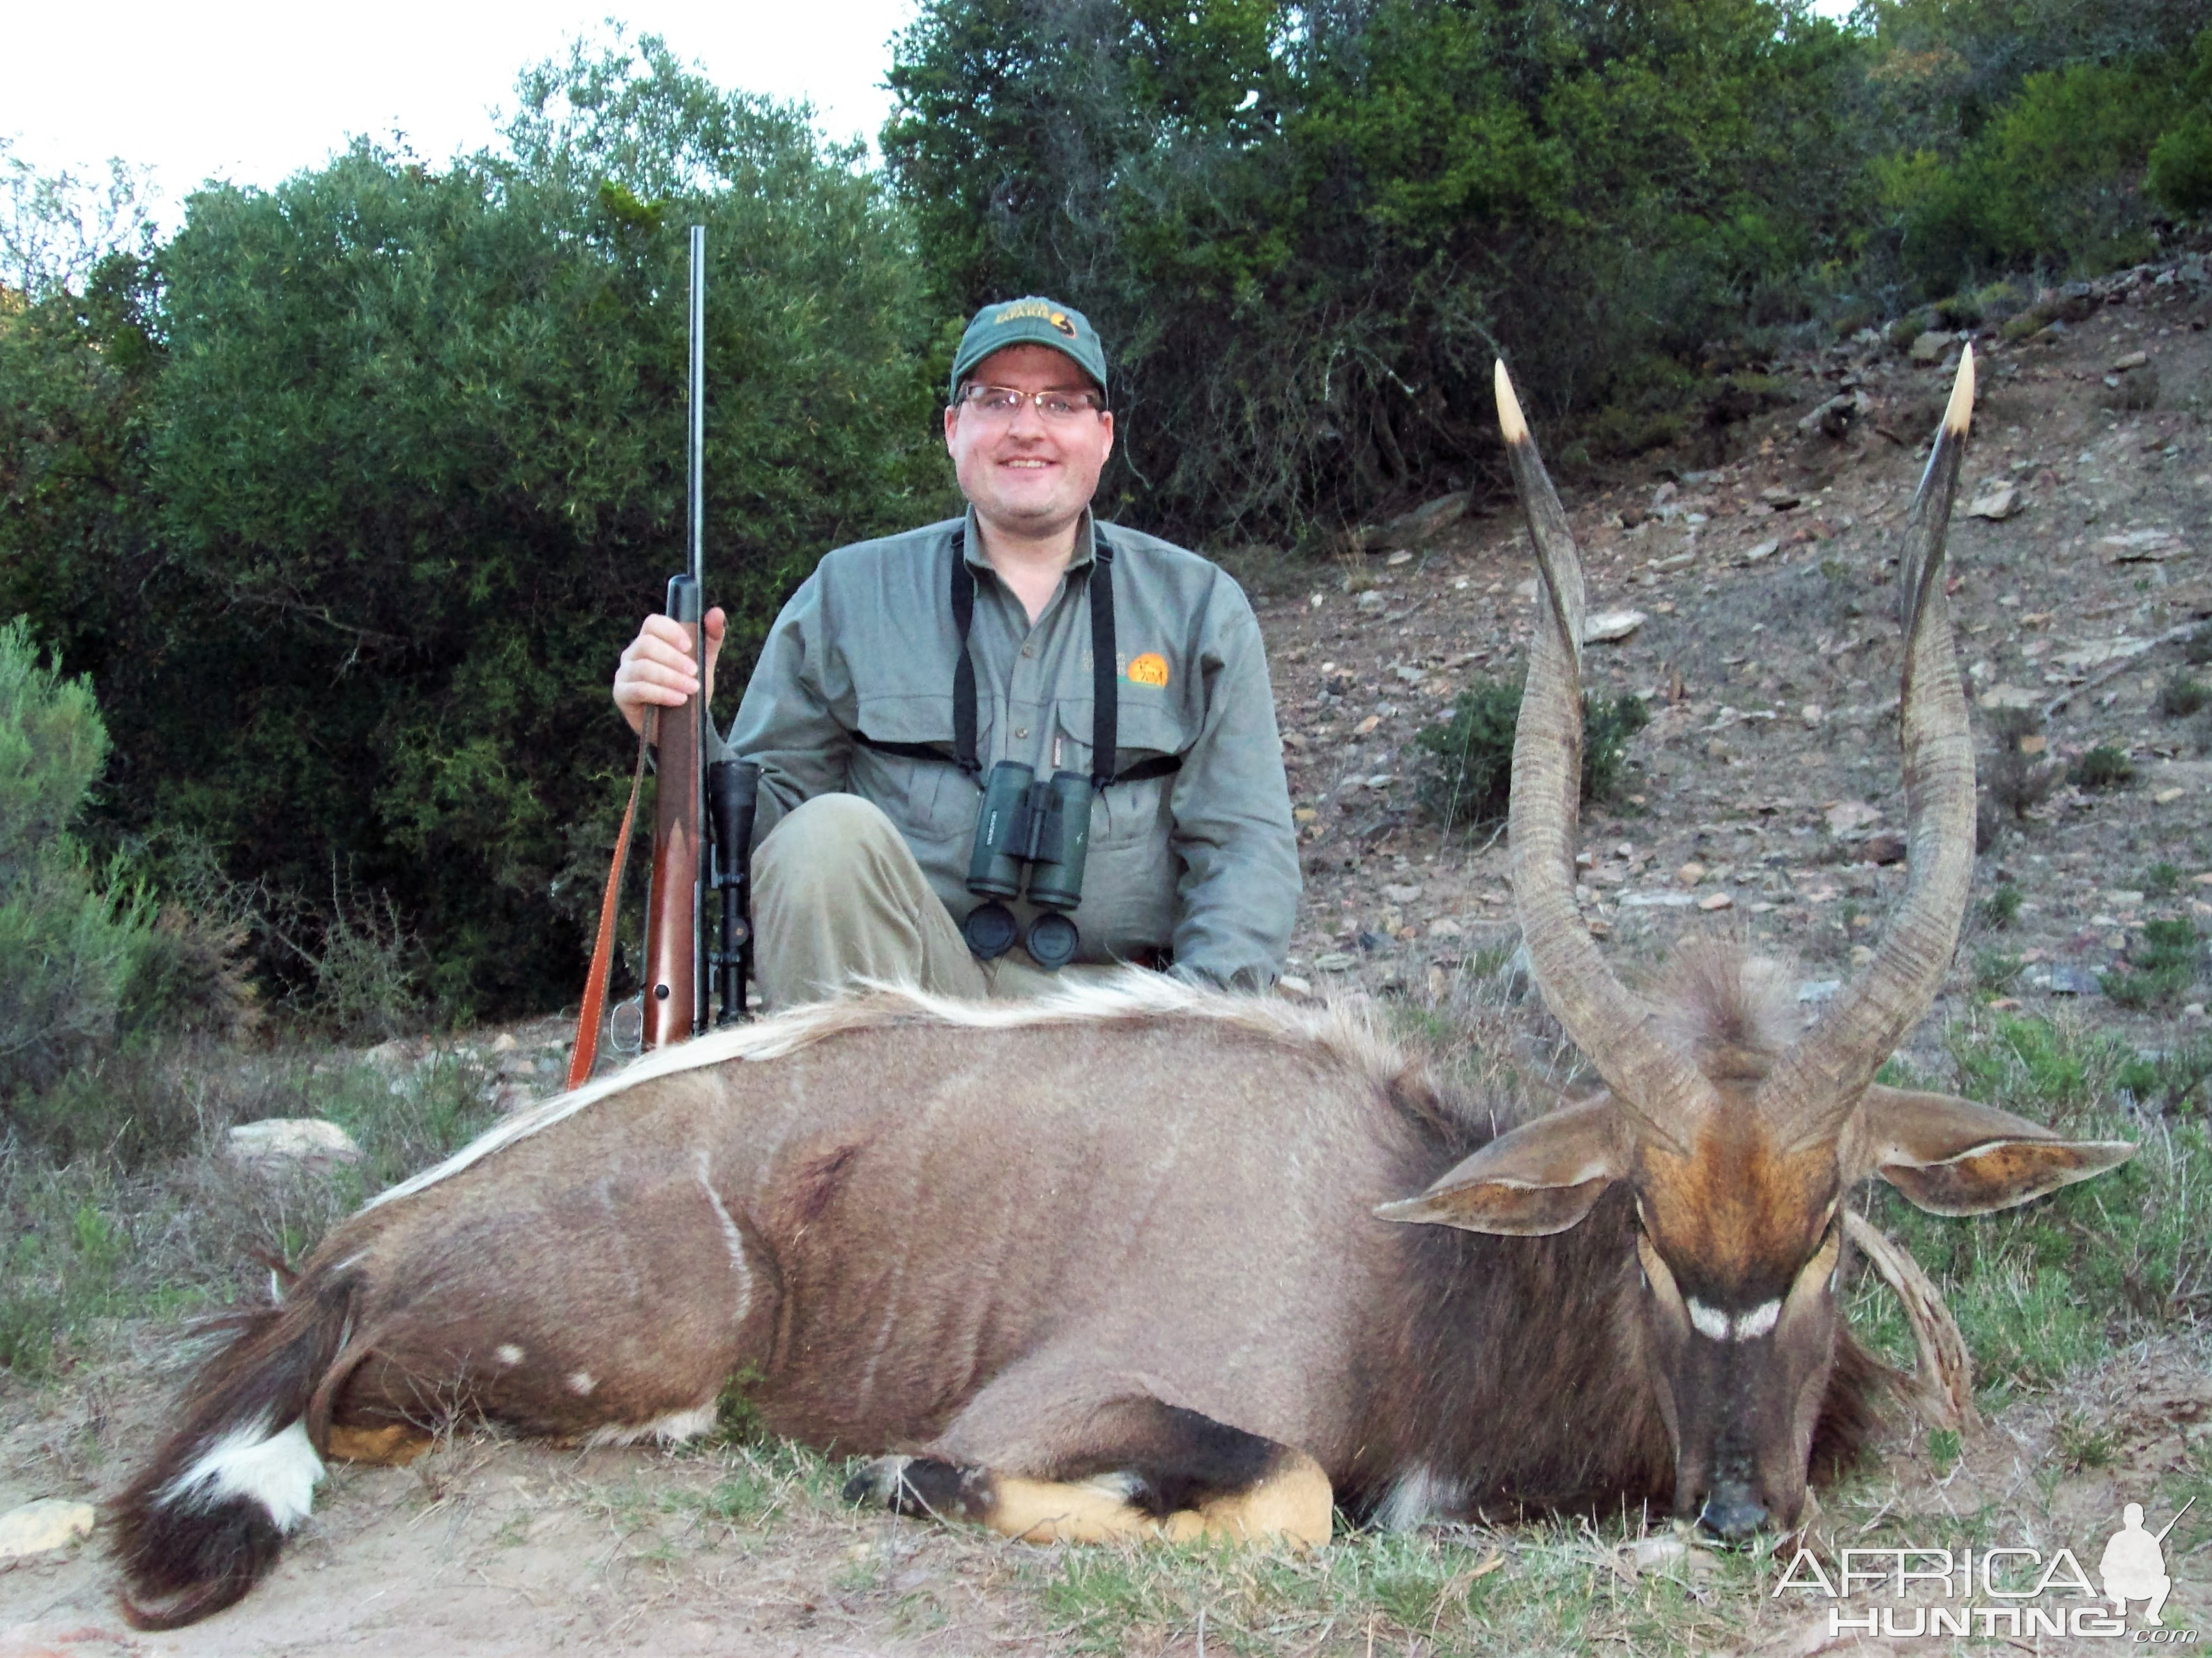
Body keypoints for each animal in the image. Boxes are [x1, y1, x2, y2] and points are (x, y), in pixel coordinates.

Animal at [116, 347, 2123, 1627]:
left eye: (1835, 1220)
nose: (1734, 1510)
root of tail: (351, 1251)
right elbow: (1290, 1495)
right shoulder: (1080, 1410)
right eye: (1640, 1222)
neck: (1402, 1250)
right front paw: (893, 1484)